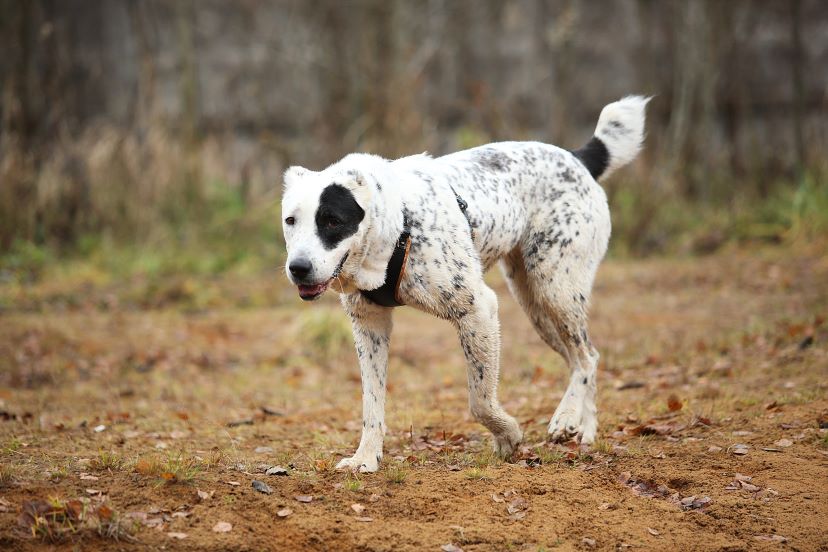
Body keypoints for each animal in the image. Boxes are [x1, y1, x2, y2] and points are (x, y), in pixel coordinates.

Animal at [282, 97, 652, 472]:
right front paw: (366, 457)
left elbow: (480, 400)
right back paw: (584, 428)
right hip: (535, 305)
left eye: (332, 220)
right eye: (290, 220)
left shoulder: (478, 310)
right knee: (581, 358)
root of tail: (578, 158)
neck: (400, 222)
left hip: (555, 287)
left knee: (586, 357)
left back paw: (566, 419)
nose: (298, 268)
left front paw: (508, 435)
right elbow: (372, 404)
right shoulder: (370, 326)